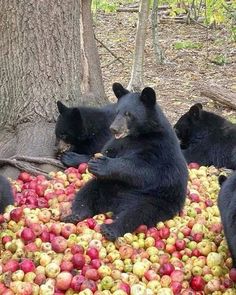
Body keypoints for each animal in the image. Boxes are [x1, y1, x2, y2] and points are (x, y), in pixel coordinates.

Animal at [62, 82, 188, 242]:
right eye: (117, 112)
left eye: (128, 114)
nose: (114, 128)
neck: (137, 136)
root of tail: (114, 205)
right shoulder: (118, 143)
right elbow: (106, 150)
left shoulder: (159, 147)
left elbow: (146, 170)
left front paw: (102, 164)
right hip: (106, 185)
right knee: (87, 192)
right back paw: (75, 215)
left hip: (156, 199)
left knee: (138, 213)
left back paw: (111, 229)